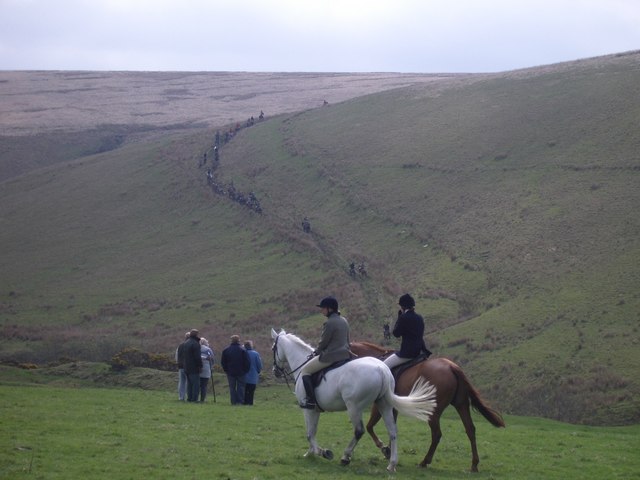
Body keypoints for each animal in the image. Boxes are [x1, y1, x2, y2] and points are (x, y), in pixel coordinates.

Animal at [268, 328, 438, 470]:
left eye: (273, 349)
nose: (275, 371)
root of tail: (382, 369)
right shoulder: (314, 410)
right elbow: (311, 432)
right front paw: (310, 453)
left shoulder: (308, 409)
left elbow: (310, 433)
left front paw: (321, 452)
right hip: (383, 404)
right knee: (392, 431)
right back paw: (391, 464)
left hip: (354, 407)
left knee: (359, 431)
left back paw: (345, 457)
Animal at [350, 342, 504, 472]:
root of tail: (452, 367)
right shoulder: (393, 408)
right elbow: (391, 429)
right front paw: (389, 452)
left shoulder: (379, 405)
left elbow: (370, 426)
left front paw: (384, 449)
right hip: (461, 405)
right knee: (470, 429)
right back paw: (474, 465)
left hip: (433, 411)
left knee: (437, 434)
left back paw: (424, 462)